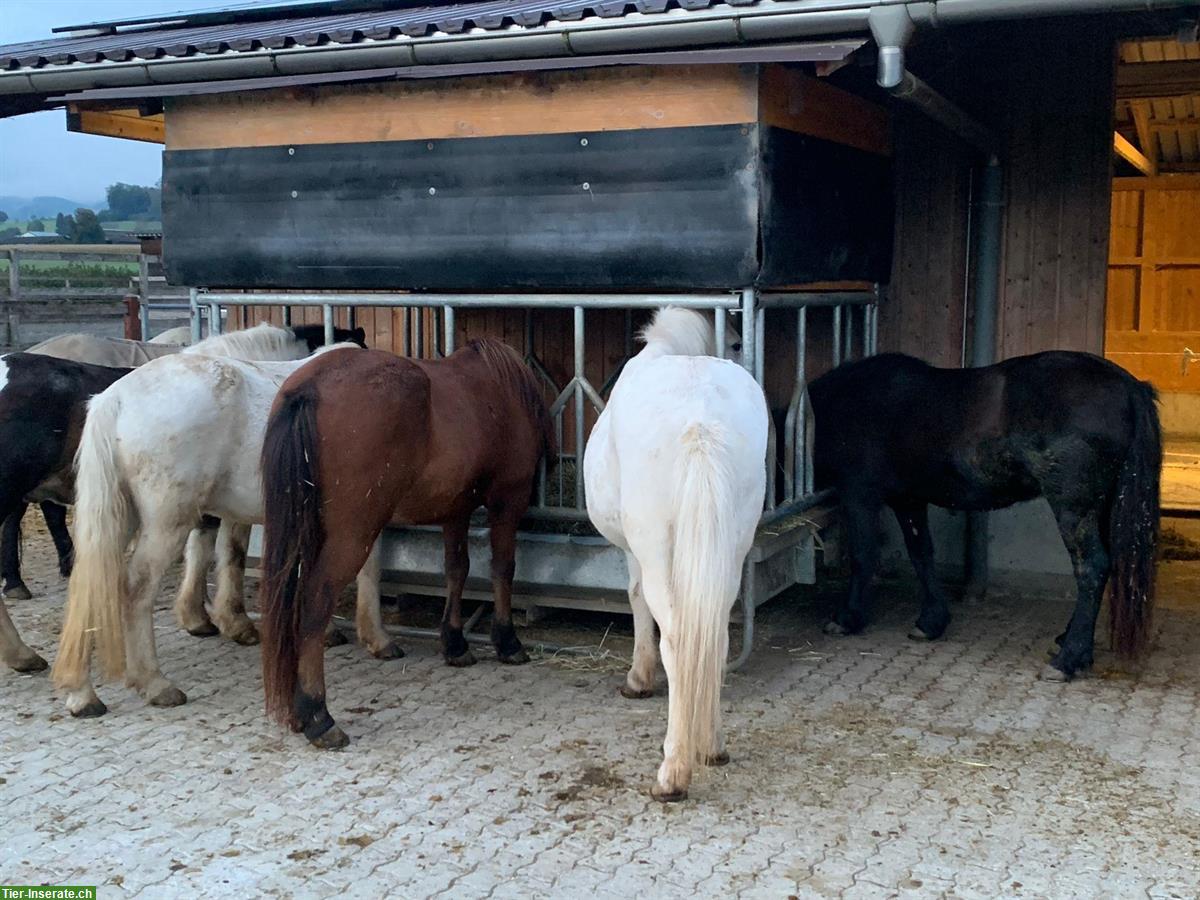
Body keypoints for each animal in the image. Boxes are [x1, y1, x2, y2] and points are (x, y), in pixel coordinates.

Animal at [55, 328, 393, 720]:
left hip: (117, 519)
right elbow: (367, 567)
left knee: (90, 584)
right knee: (135, 589)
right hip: (165, 524)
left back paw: (82, 694)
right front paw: (376, 638)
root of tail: (116, 399)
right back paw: (154, 684)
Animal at [258, 340, 552, 748]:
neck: (499, 387)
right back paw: (319, 714)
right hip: (352, 534)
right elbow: (502, 569)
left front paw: (455, 642)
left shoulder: (455, 509)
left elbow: (457, 569)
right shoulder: (508, 500)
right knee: (315, 601)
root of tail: (310, 388)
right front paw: (507, 641)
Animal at [583, 309, 768, 801]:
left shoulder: (634, 552)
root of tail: (700, 423)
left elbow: (635, 598)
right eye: (738, 342)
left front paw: (638, 679)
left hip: (657, 553)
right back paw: (713, 746)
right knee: (715, 638)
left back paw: (672, 772)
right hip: (730, 551)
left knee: (679, 640)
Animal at [811, 348, 1156, 681]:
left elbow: (862, 556)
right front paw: (931, 621)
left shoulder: (859, 495)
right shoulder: (908, 501)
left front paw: (847, 617)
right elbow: (921, 554)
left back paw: (1068, 659)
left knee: (1091, 567)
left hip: (1074, 507)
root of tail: (1127, 384)